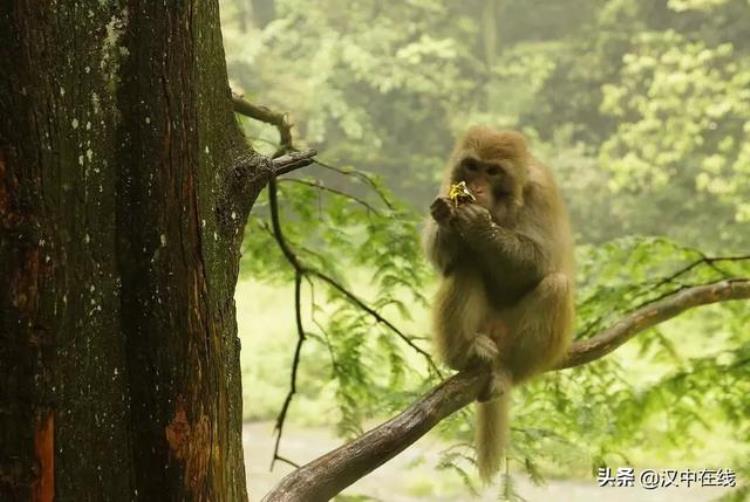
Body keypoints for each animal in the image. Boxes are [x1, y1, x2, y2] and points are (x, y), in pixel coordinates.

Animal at [424, 125, 576, 482]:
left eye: (493, 172)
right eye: (472, 167)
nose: (477, 188)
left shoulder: (542, 193)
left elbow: (540, 261)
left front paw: (479, 226)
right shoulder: (448, 179)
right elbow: (442, 258)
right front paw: (445, 215)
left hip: (513, 335)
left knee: (557, 287)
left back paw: (507, 371)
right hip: (482, 326)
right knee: (465, 264)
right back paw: (465, 354)